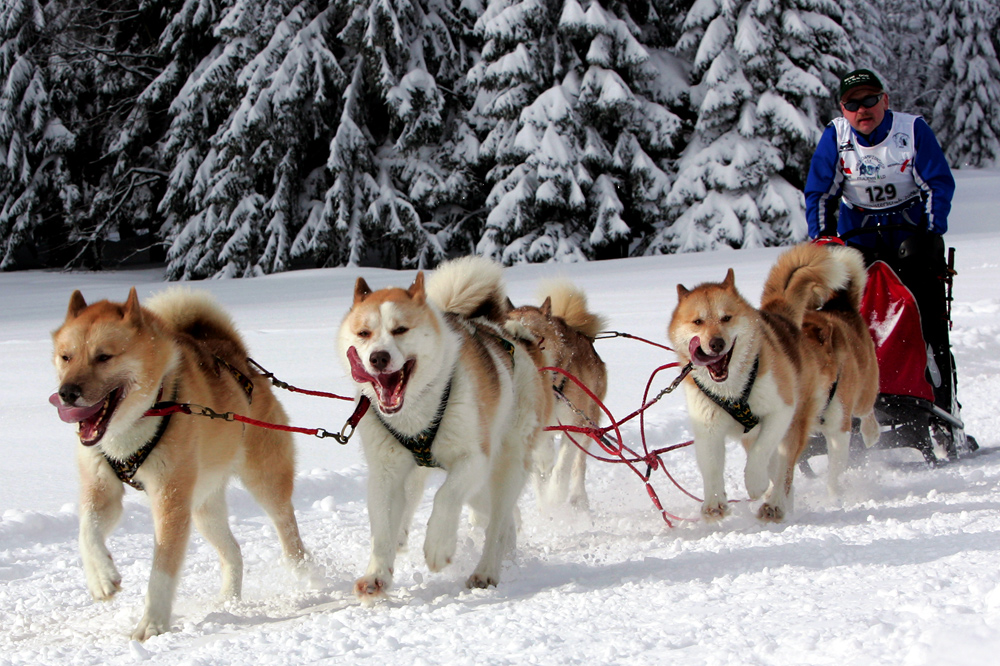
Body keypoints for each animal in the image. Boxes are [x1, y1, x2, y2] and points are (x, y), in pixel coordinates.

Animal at [49, 286, 304, 640]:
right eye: (66, 356)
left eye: (103, 356)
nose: (66, 392)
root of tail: (238, 356)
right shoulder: (102, 489)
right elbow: (87, 531)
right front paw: (101, 577)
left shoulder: (170, 500)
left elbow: (162, 569)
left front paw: (153, 622)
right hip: (202, 508)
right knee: (234, 552)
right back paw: (228, 600)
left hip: (263, 481)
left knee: (289, 532)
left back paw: (309, 577)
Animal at [340, 255, 552, 596]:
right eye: (363, 333)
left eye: (400, 329)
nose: (378, 358)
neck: (415, 414)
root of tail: (516, 337)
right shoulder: (385, 473)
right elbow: (382, 528)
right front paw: (376, 575)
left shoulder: (473, 459)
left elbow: (445, 496)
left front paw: (438, 545)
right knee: (498, 515)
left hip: (507, 464)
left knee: (497, 521)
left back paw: (486, 569)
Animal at [508, 280, 608, 508]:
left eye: (538, 339)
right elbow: (538, 472)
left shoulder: (574, 425)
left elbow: (562, 467)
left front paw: (555, 495)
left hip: (590, 421)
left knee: (578, 464)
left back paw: (578, 496)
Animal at [668, 241, 856, 520]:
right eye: (698, 321)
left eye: (726, 317)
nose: (716, 343)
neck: (732, 390)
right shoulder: (707, 426)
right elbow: (711, 466)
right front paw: (714, 502)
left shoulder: (781, 412)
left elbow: (761, 454)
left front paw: (755, 483)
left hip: (797, 422)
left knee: (784, 470)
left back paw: (775, 503)